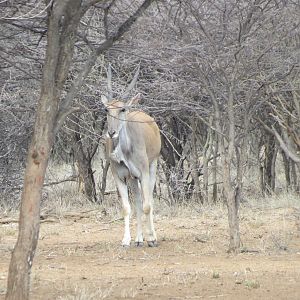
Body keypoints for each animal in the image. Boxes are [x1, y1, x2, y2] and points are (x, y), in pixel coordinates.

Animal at [101, 67, 162, 247]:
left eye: (122, 109)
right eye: (107, 109)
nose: (111, 133)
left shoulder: (144, 172)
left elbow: (148, 205)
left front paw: (151, 238)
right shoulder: (120, 177)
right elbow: (127, 207)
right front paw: (126, 239)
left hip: (152, 166)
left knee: (148, 201)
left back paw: (151, 236)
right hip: (133, 178)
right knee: (138, 202)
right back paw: (139, 238)